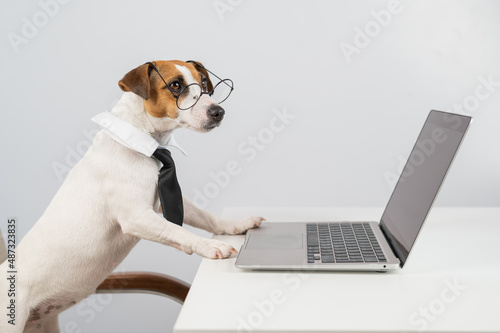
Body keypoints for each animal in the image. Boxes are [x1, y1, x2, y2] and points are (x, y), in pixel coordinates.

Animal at [0, 60, 266, 332]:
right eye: (176, 85)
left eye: (203, 83)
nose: (218, 112)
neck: (141, 140)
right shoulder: (136, 216)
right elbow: (179, 230)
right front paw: (210, 245)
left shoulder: (161, 203)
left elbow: (207, 218)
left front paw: (235, 226)